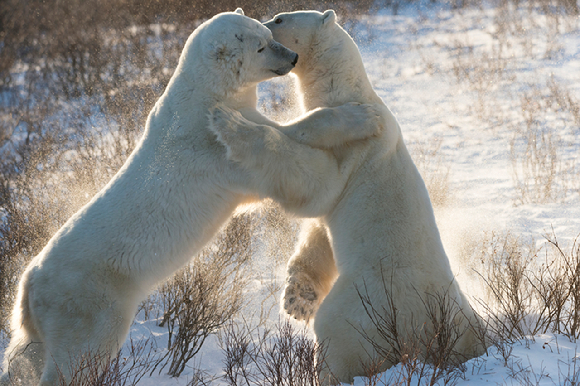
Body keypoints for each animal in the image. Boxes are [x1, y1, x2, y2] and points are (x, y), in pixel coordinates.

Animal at [1, 9, 386, 386]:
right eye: (261, 47)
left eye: (269, 34)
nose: (291, 58)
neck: (202, 93)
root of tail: (28, 285)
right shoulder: (211, 143)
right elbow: (278, 143)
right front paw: (364, 117)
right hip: (89, 300)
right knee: (79, 354)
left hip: (43, 317)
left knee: (27, 354)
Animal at [211, 10, 488, 384]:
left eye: (280, 19)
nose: (259, 24)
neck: (346, 91)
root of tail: (424, 324)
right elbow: (318, 233)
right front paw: (296, 300)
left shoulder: (353, 151)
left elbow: (315, 183)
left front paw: (230, 122)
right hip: (458, 314)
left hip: (365, 301)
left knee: (339, 332)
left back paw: (327, 370)